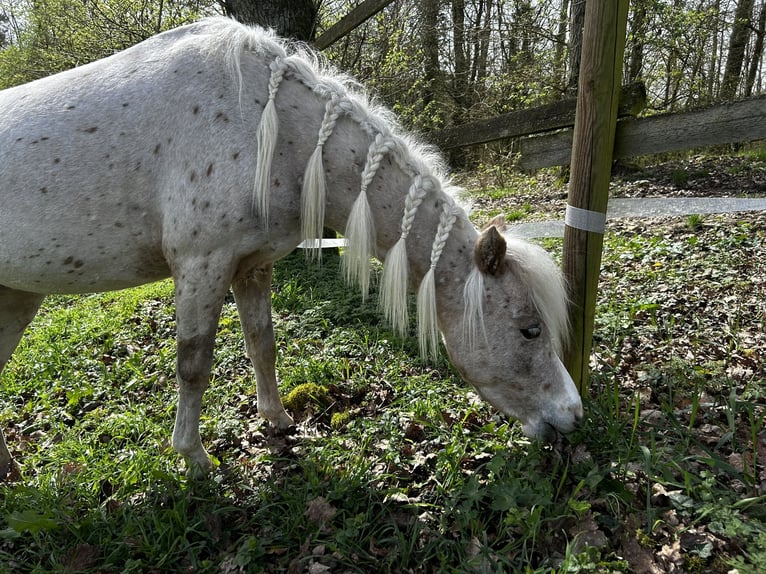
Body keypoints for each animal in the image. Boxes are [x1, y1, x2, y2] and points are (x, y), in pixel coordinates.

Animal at [0, 18, 584, 480]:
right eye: (530, 330)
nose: (573, 414)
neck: (266, 125)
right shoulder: (201, 267)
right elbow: (193, 364)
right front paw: (194, 458)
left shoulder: (250, 266)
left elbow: (263, 343)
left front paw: (278, 421)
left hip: (16, 295)